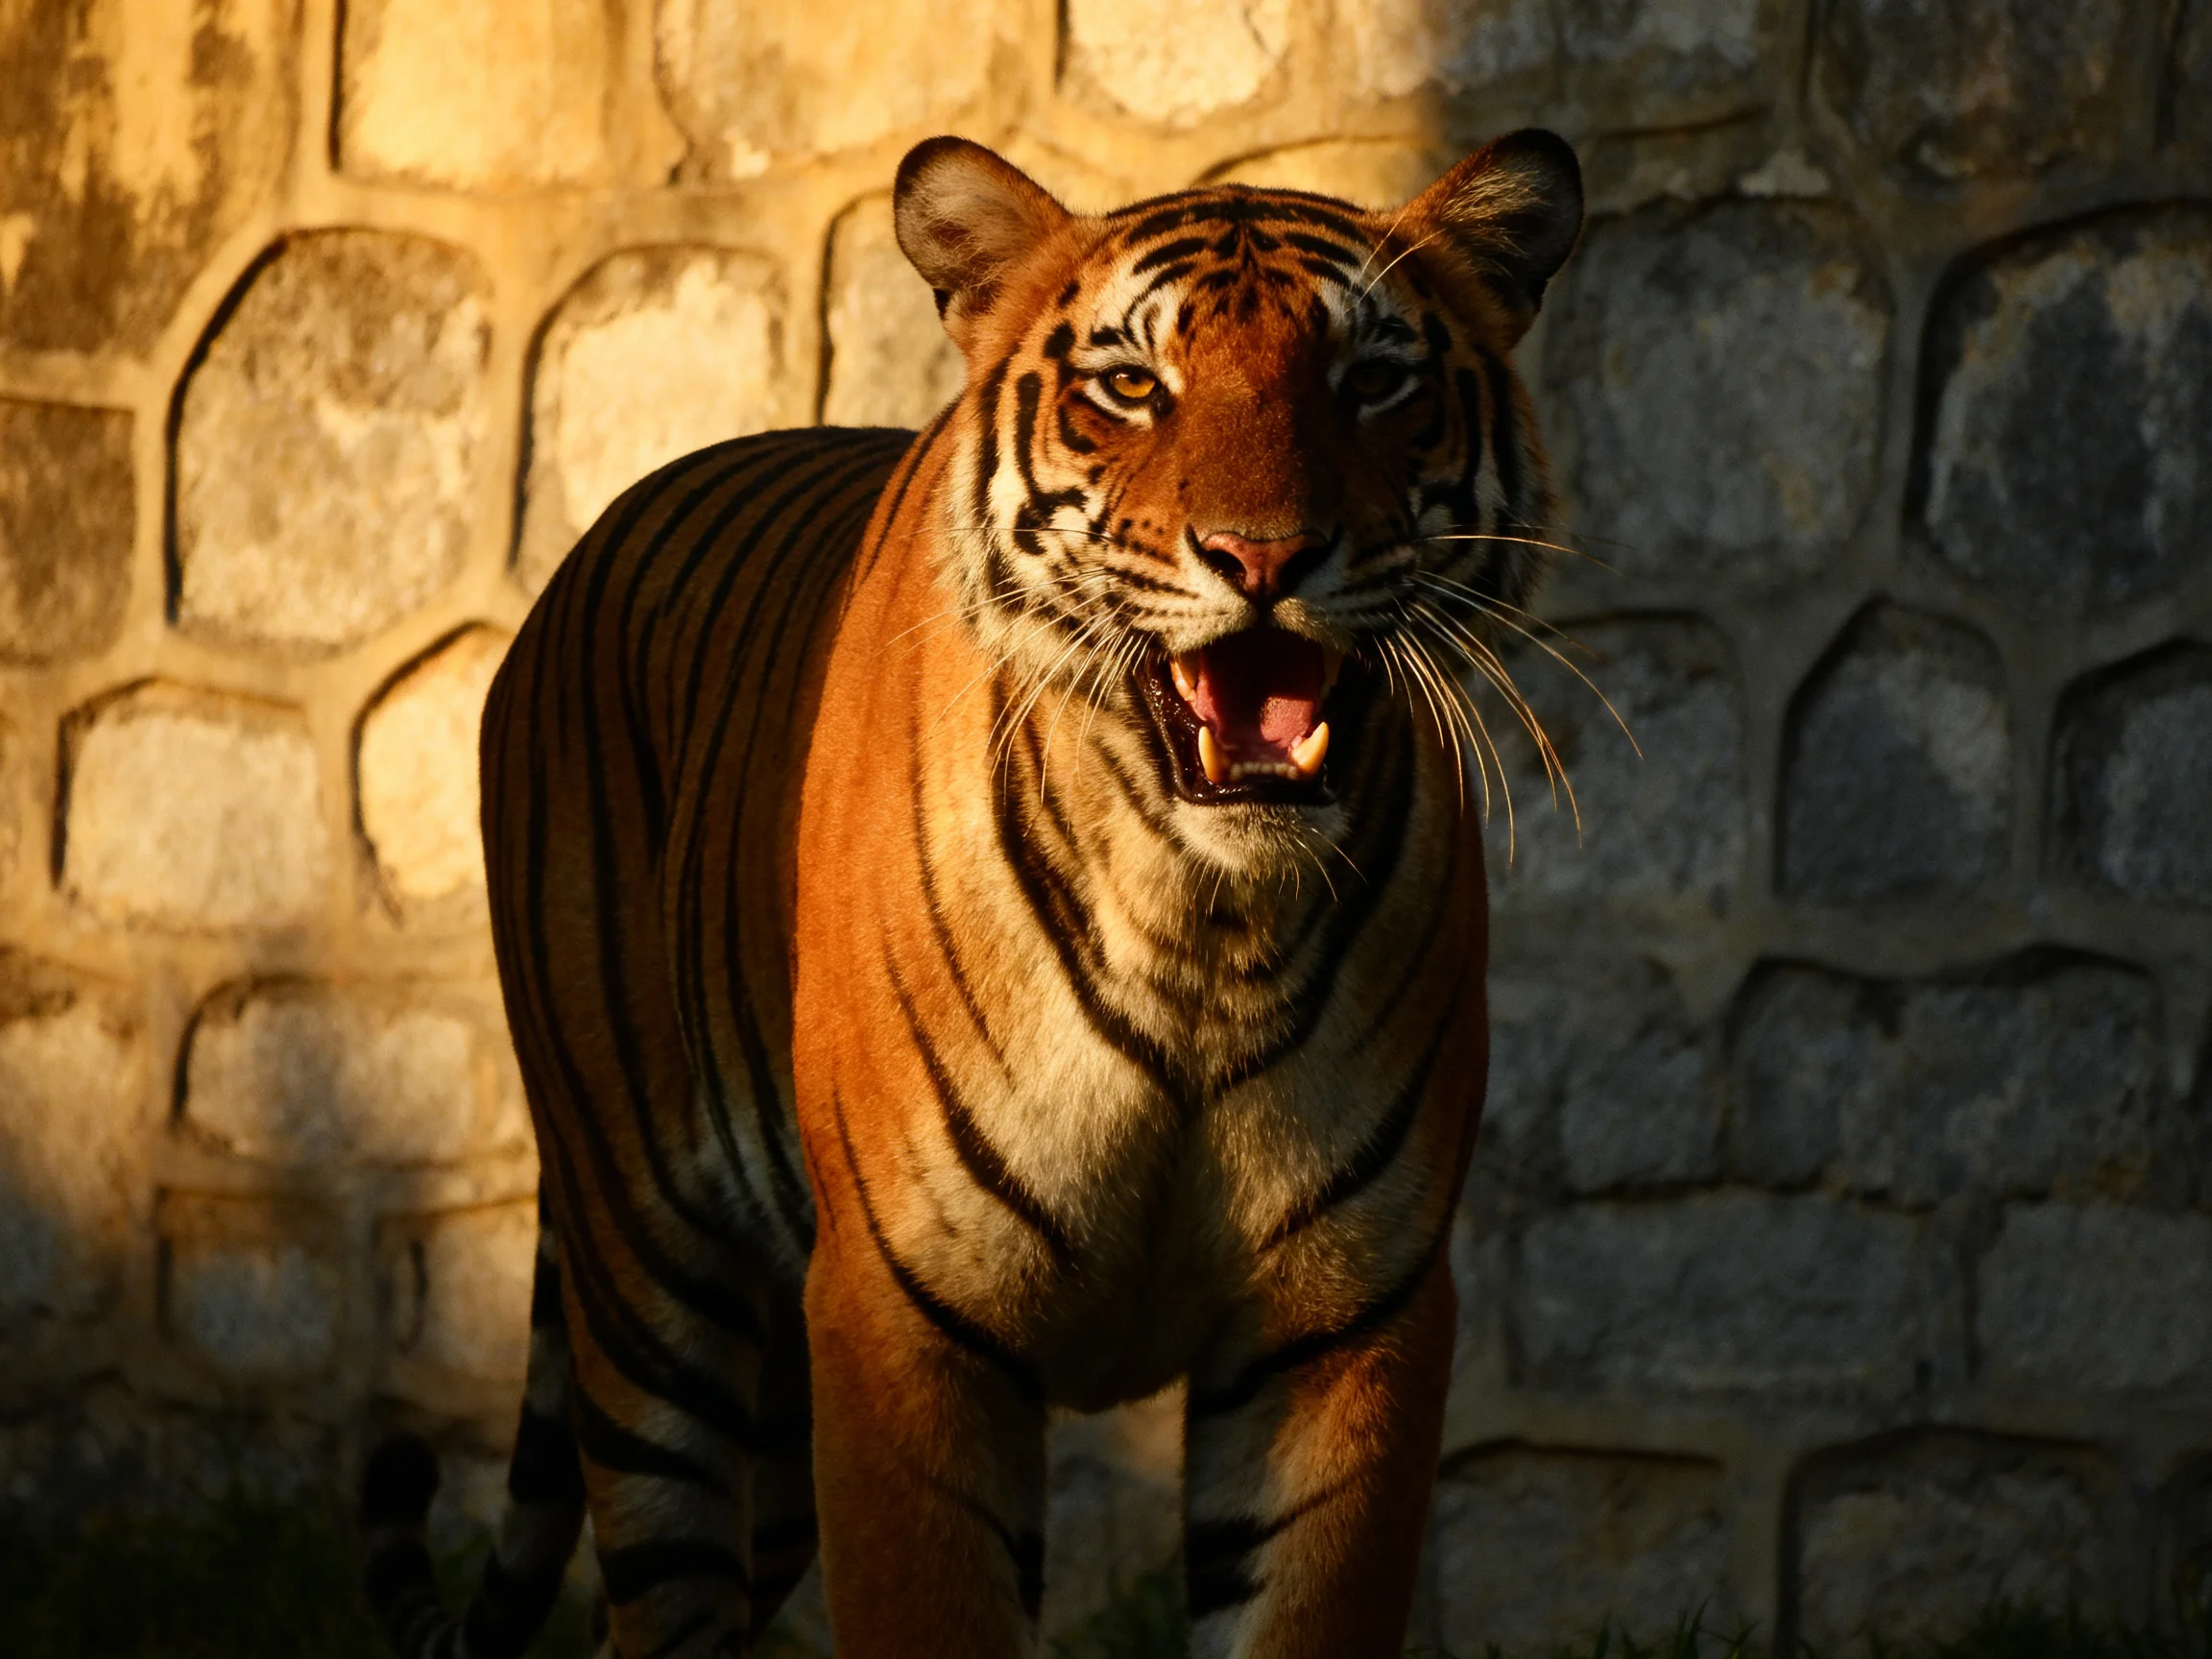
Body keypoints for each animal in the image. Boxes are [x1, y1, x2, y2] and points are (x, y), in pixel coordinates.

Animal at [360, 127, 1583, 1659]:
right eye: (1133, 385)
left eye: (1374, 382)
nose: (1262, 558)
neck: (1202, 921)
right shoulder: (903, 1310)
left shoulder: (1350, 1318)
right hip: (648, 1275)